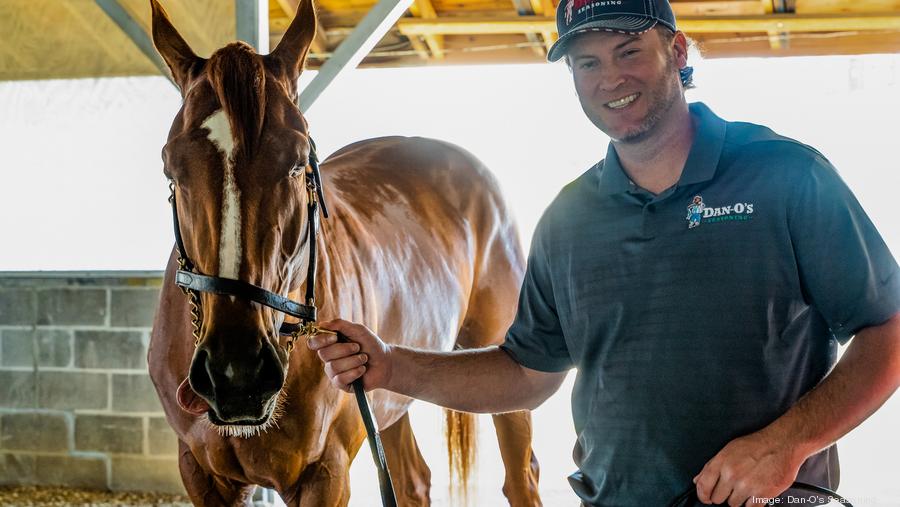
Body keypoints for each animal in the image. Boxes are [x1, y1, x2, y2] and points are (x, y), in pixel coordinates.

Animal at [149, 0, 540, 506]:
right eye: (171, 168)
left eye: (298, 161)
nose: (238, 374)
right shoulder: (200, 474)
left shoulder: (326, 475)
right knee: (413, 479)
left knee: (521, 477)